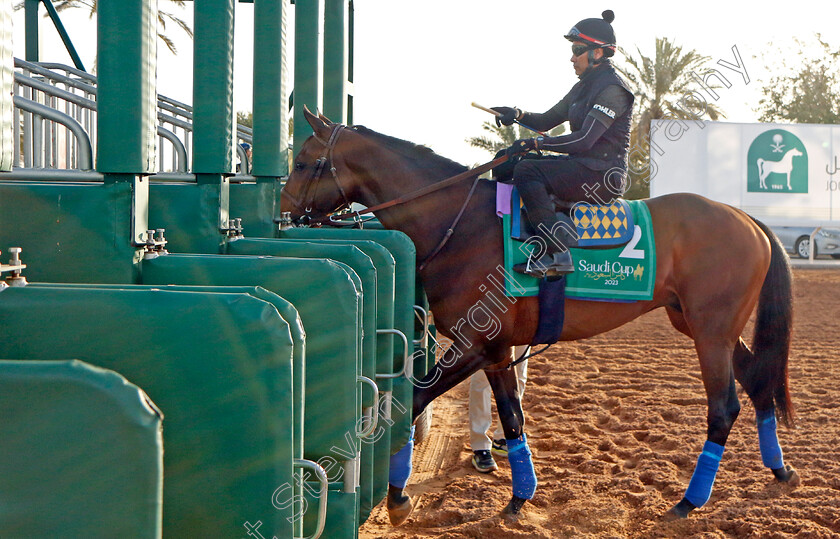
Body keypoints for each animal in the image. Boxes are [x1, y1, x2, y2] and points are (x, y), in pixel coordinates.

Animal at [278, 107, 796, 524]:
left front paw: (398, 498)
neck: (461, 223)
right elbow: (512, 418)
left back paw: (690, 501)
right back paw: (779, 469)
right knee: (758, 382)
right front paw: (519, 498)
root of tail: (746, 218)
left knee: (724, 407)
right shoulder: (495, 350)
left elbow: (414, 401)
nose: (282, 216)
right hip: (702, 325)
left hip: (710, 333)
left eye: (302, 162)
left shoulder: (473, 344)